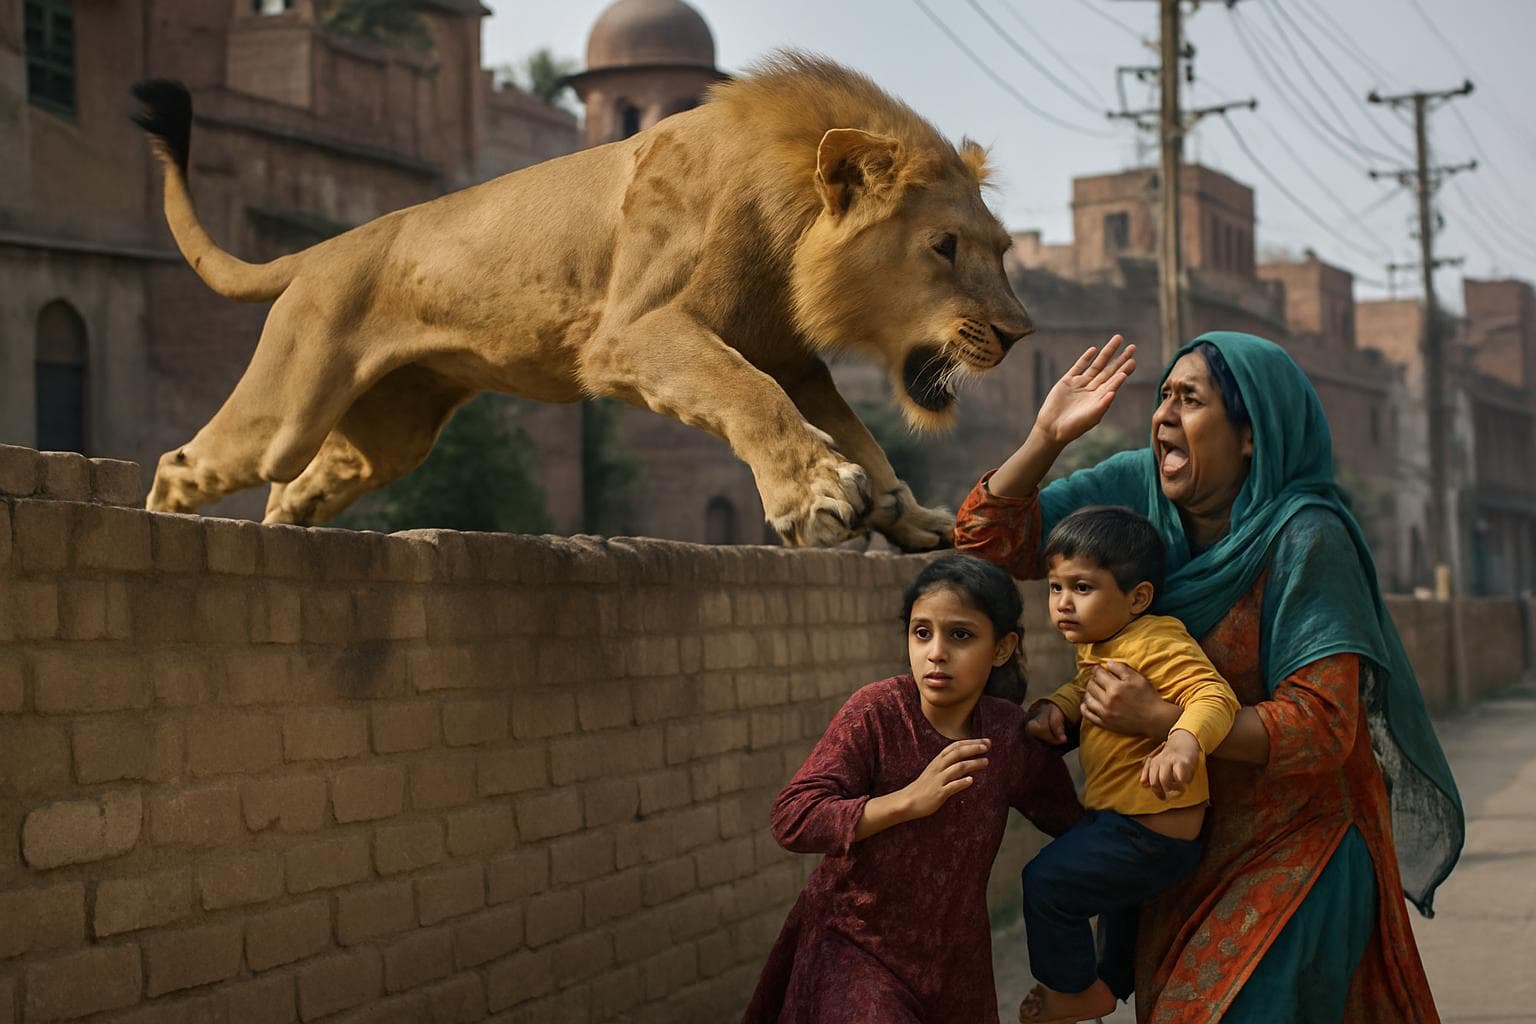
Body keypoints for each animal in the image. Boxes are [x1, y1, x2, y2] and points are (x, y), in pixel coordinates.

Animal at [131, 52, 1033, 549]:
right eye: (944, 248)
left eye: (1002, 251)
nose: (1020, 336)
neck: (787, 215)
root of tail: (319, 251)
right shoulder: (631, 334)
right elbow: (749, 394)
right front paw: (813, 498)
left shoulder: (791, 354)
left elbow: (851, 431)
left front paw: (908, 515)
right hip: (288, 407)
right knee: (190, 462)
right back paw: (167, 527)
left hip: (392, 433)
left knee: (298, 483)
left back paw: (288, 528)